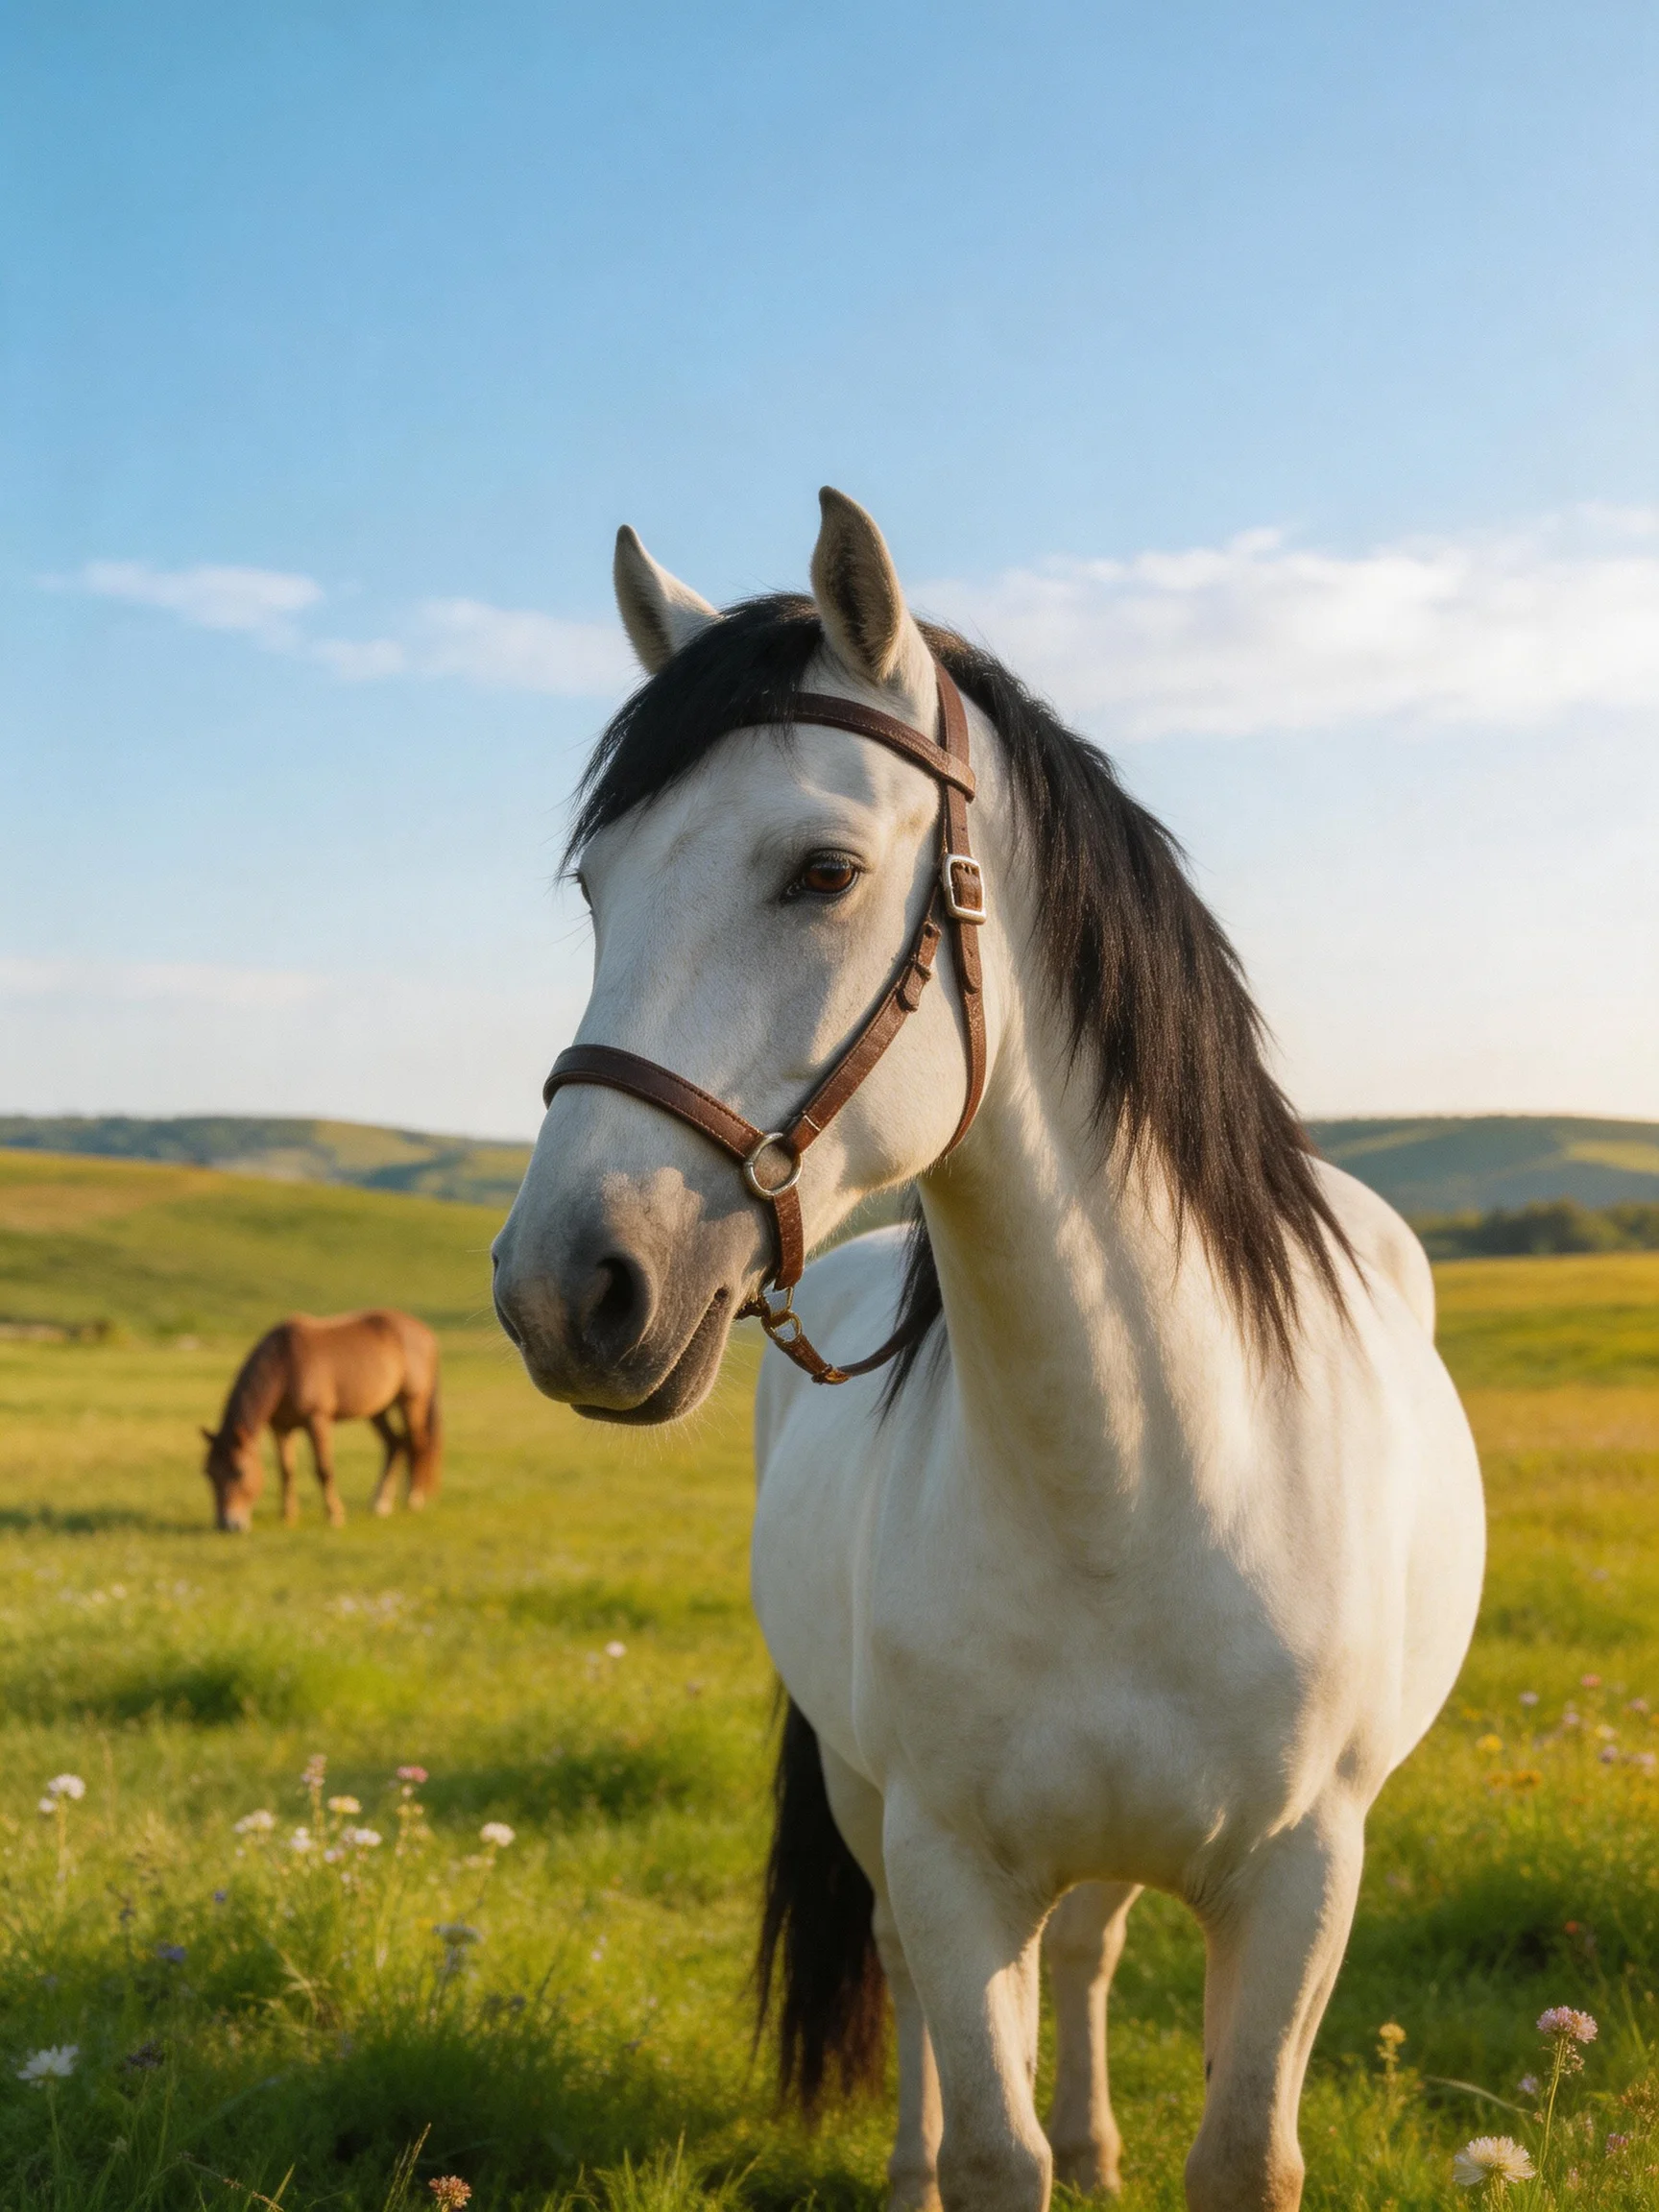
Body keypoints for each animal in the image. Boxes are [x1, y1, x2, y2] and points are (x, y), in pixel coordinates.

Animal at [201, 1309, 442, 1532]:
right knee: (395, 1444)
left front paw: (335, 1515)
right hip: (378, 1409)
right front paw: (288, 1516)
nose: (227, 1524)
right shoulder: (280, 1427)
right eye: (209, 1473)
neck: (285, 1364)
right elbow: (286, 1471)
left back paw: (414, 1498)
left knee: (417, 1443)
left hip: (411, 1401)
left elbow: (323, 1469)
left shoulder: (317, 1419)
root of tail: (425, 1332)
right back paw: (380, 1504)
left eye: (239, 1471)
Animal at [489, 488, 1485, 2212]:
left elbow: (1236, 2143)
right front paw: (984, 2158)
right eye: (599, 888)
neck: (1135, 1475)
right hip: (870, 1799)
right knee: (931, 1987)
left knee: (1084, 1948)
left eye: (820, 870)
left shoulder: (1300, 1878)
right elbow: (986, 2131)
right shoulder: (951, 1858)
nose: (567, 1288)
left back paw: (1097, 2142)